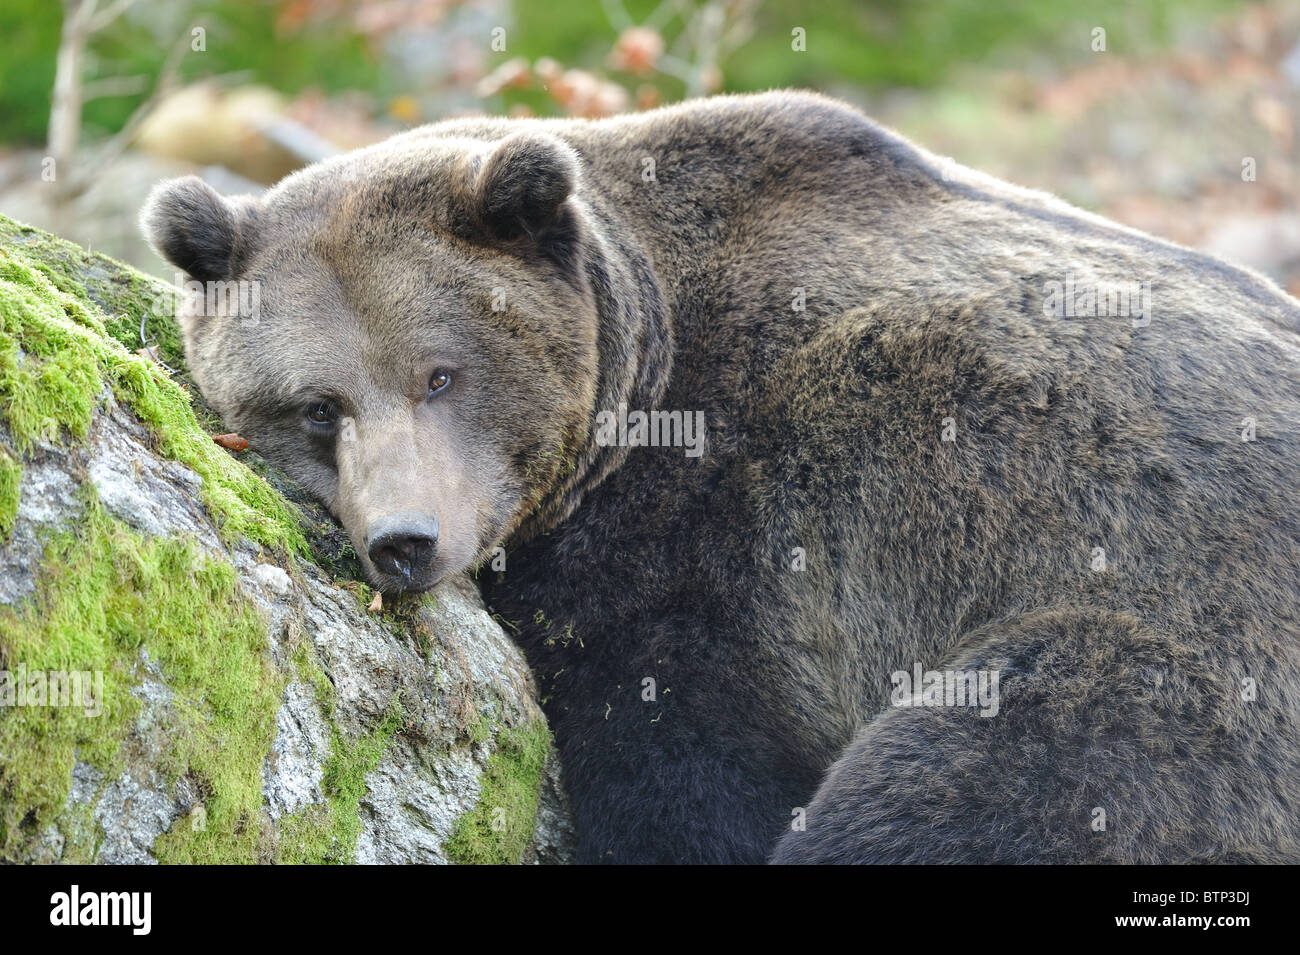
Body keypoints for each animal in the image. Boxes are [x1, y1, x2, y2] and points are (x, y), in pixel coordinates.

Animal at [142, 91, 1300, 867]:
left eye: (440, 373)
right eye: (317, 405)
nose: (405, 539)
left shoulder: (739, 528)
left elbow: (684, 764)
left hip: (1159, 660)